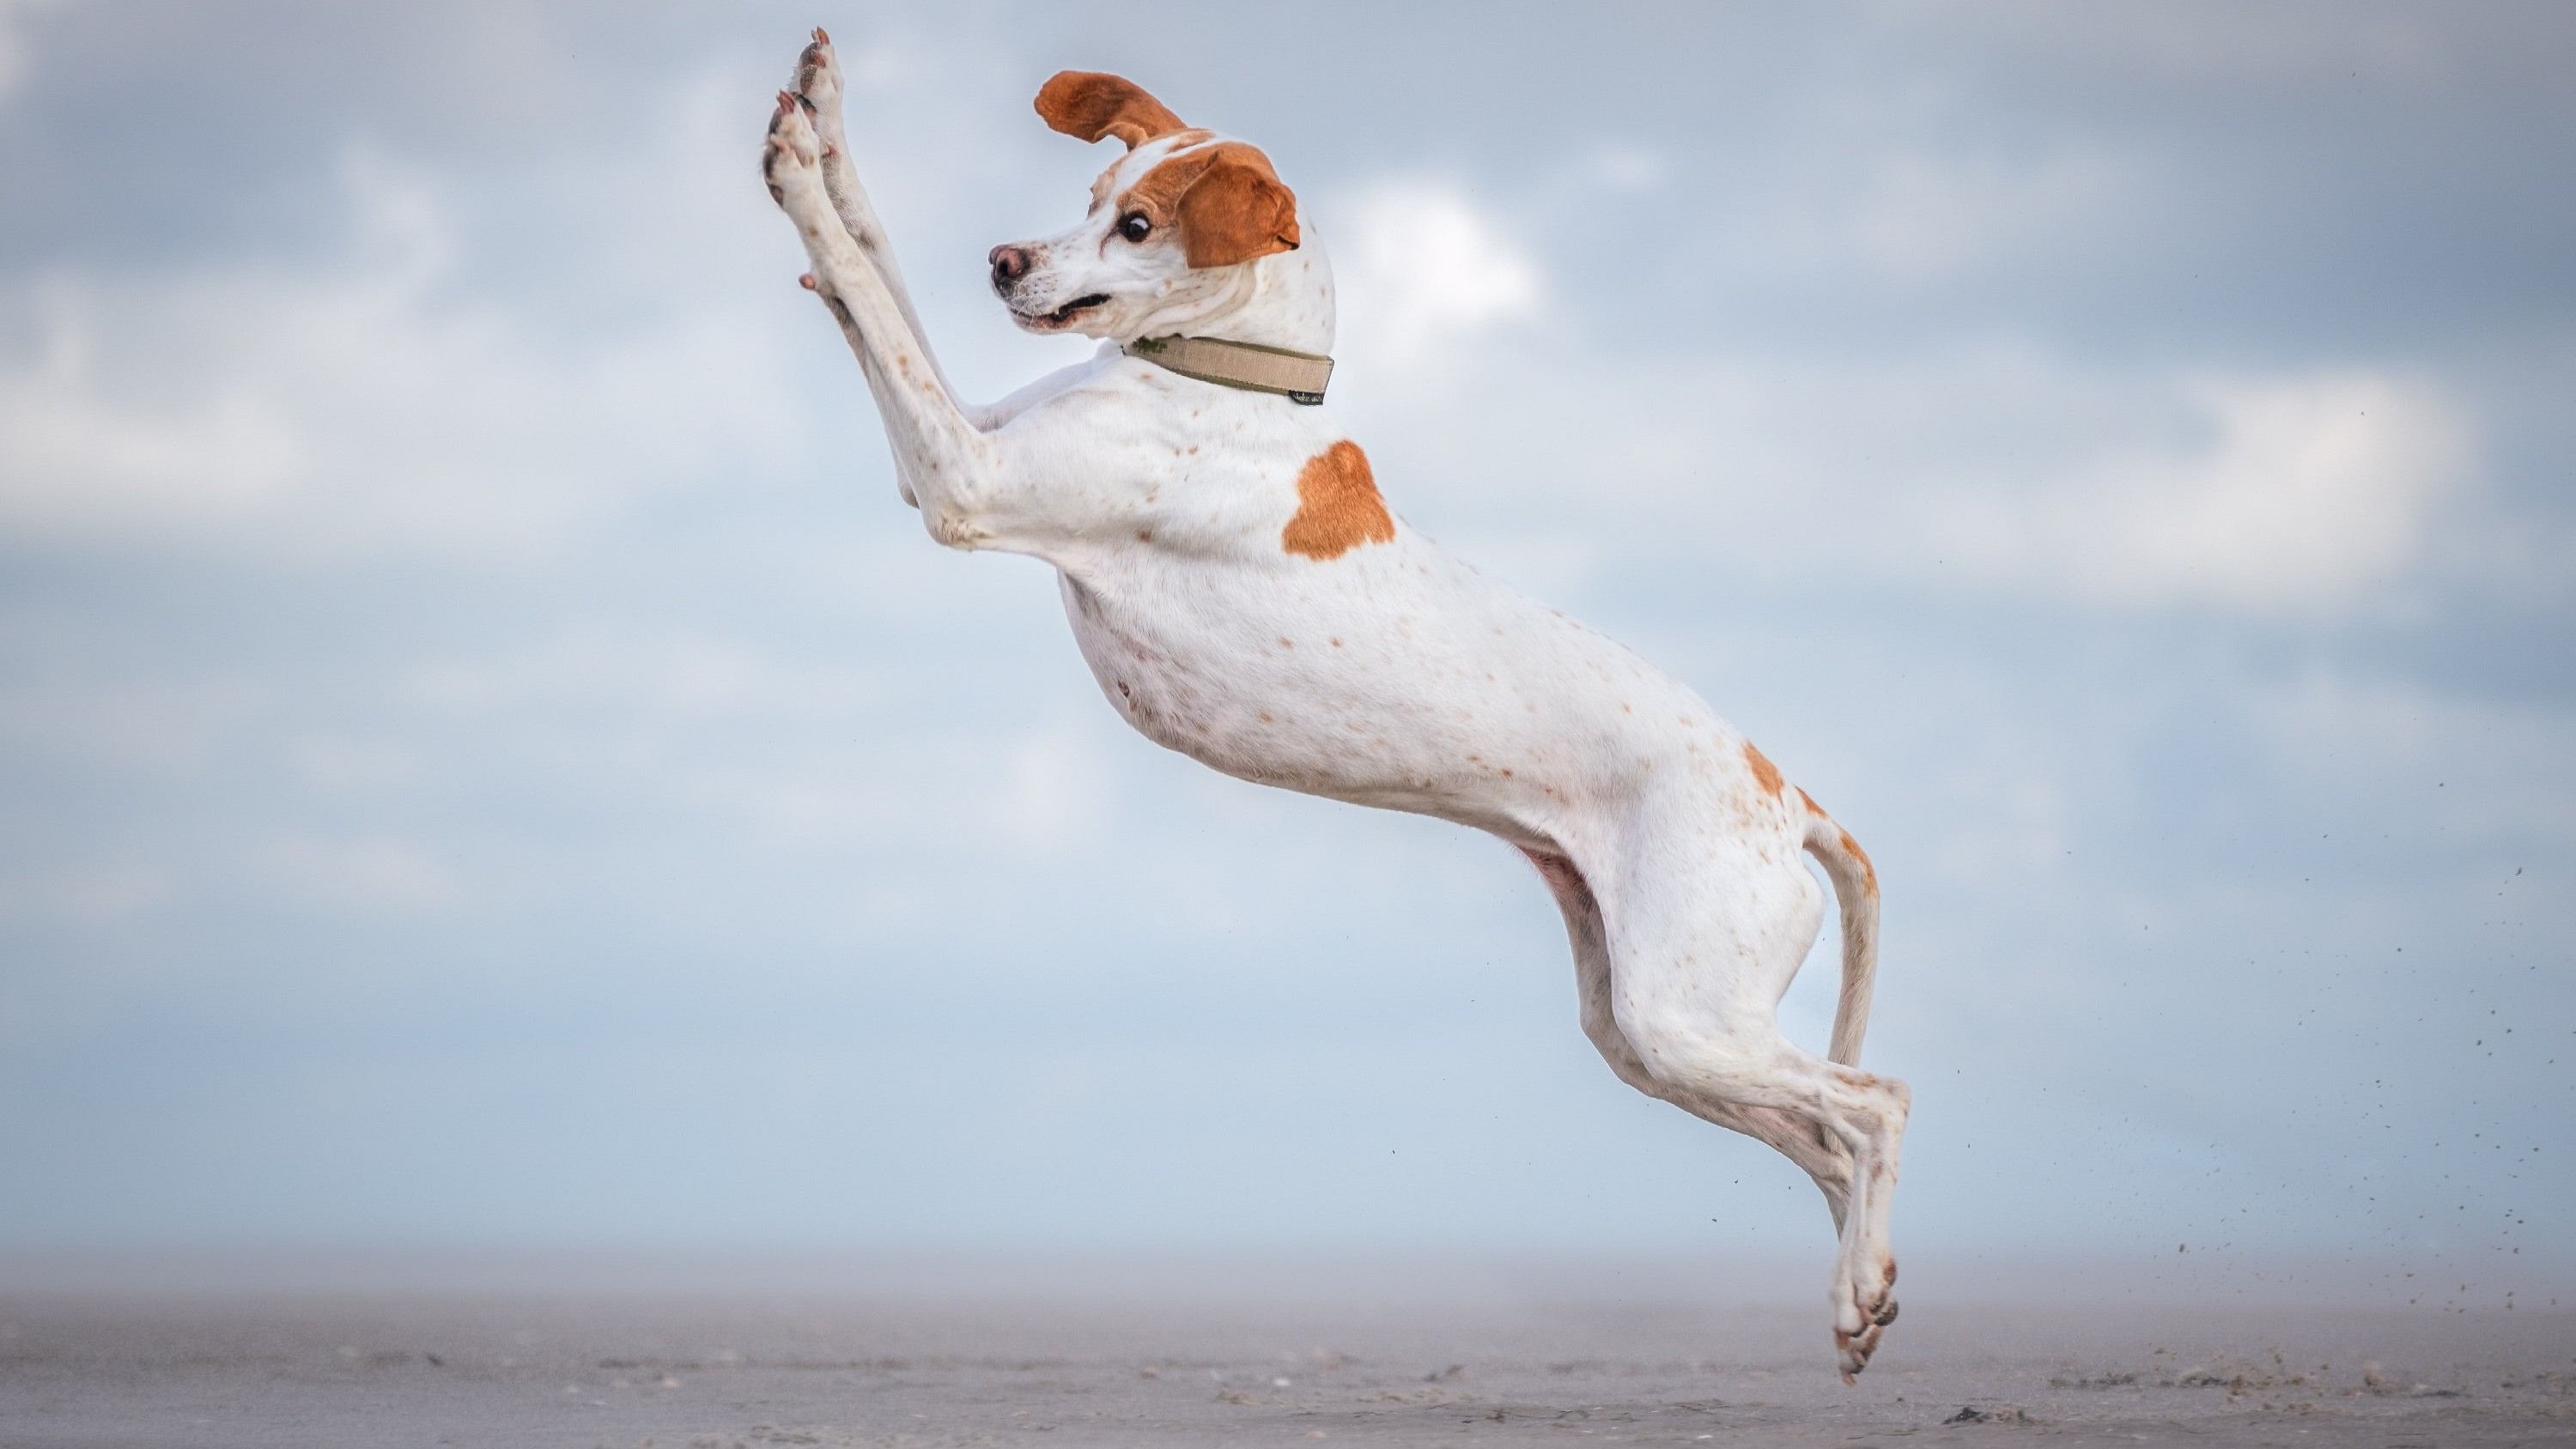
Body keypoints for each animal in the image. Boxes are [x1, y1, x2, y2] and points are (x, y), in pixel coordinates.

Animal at [752, 27, 1906, 1379]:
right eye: (1089, 199)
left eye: (1138, 224)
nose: (1005, 263)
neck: (1234, 385)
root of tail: (1788, 791)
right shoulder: (958, 443)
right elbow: (877, 265)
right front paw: (824, 115)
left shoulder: (962, 483)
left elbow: (869, 297)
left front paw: (795, 170)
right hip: (1645, 1033)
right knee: (1828, 1143)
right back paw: (1859, 1301)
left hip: (1686, 1013)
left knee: (1877, 1103)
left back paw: (1861, 1281)